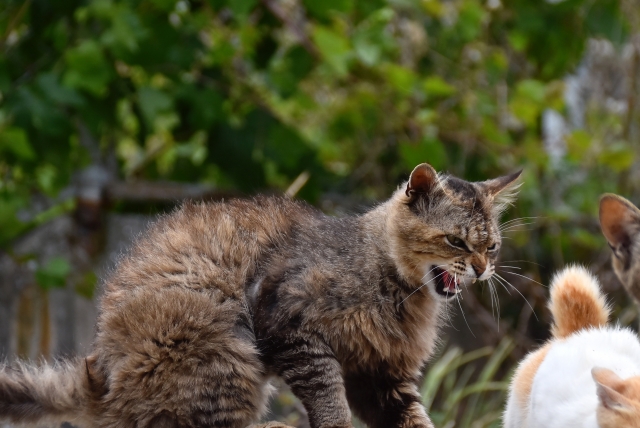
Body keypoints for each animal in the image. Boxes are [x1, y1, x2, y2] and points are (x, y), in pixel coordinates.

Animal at [0, 162, 520, 426]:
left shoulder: (382, 372)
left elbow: (413, 418)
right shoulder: (292, 329)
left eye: (491, 246)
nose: (481, 269)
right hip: (225, 349)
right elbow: (329, 401)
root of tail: (101, 378)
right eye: (456, 242)